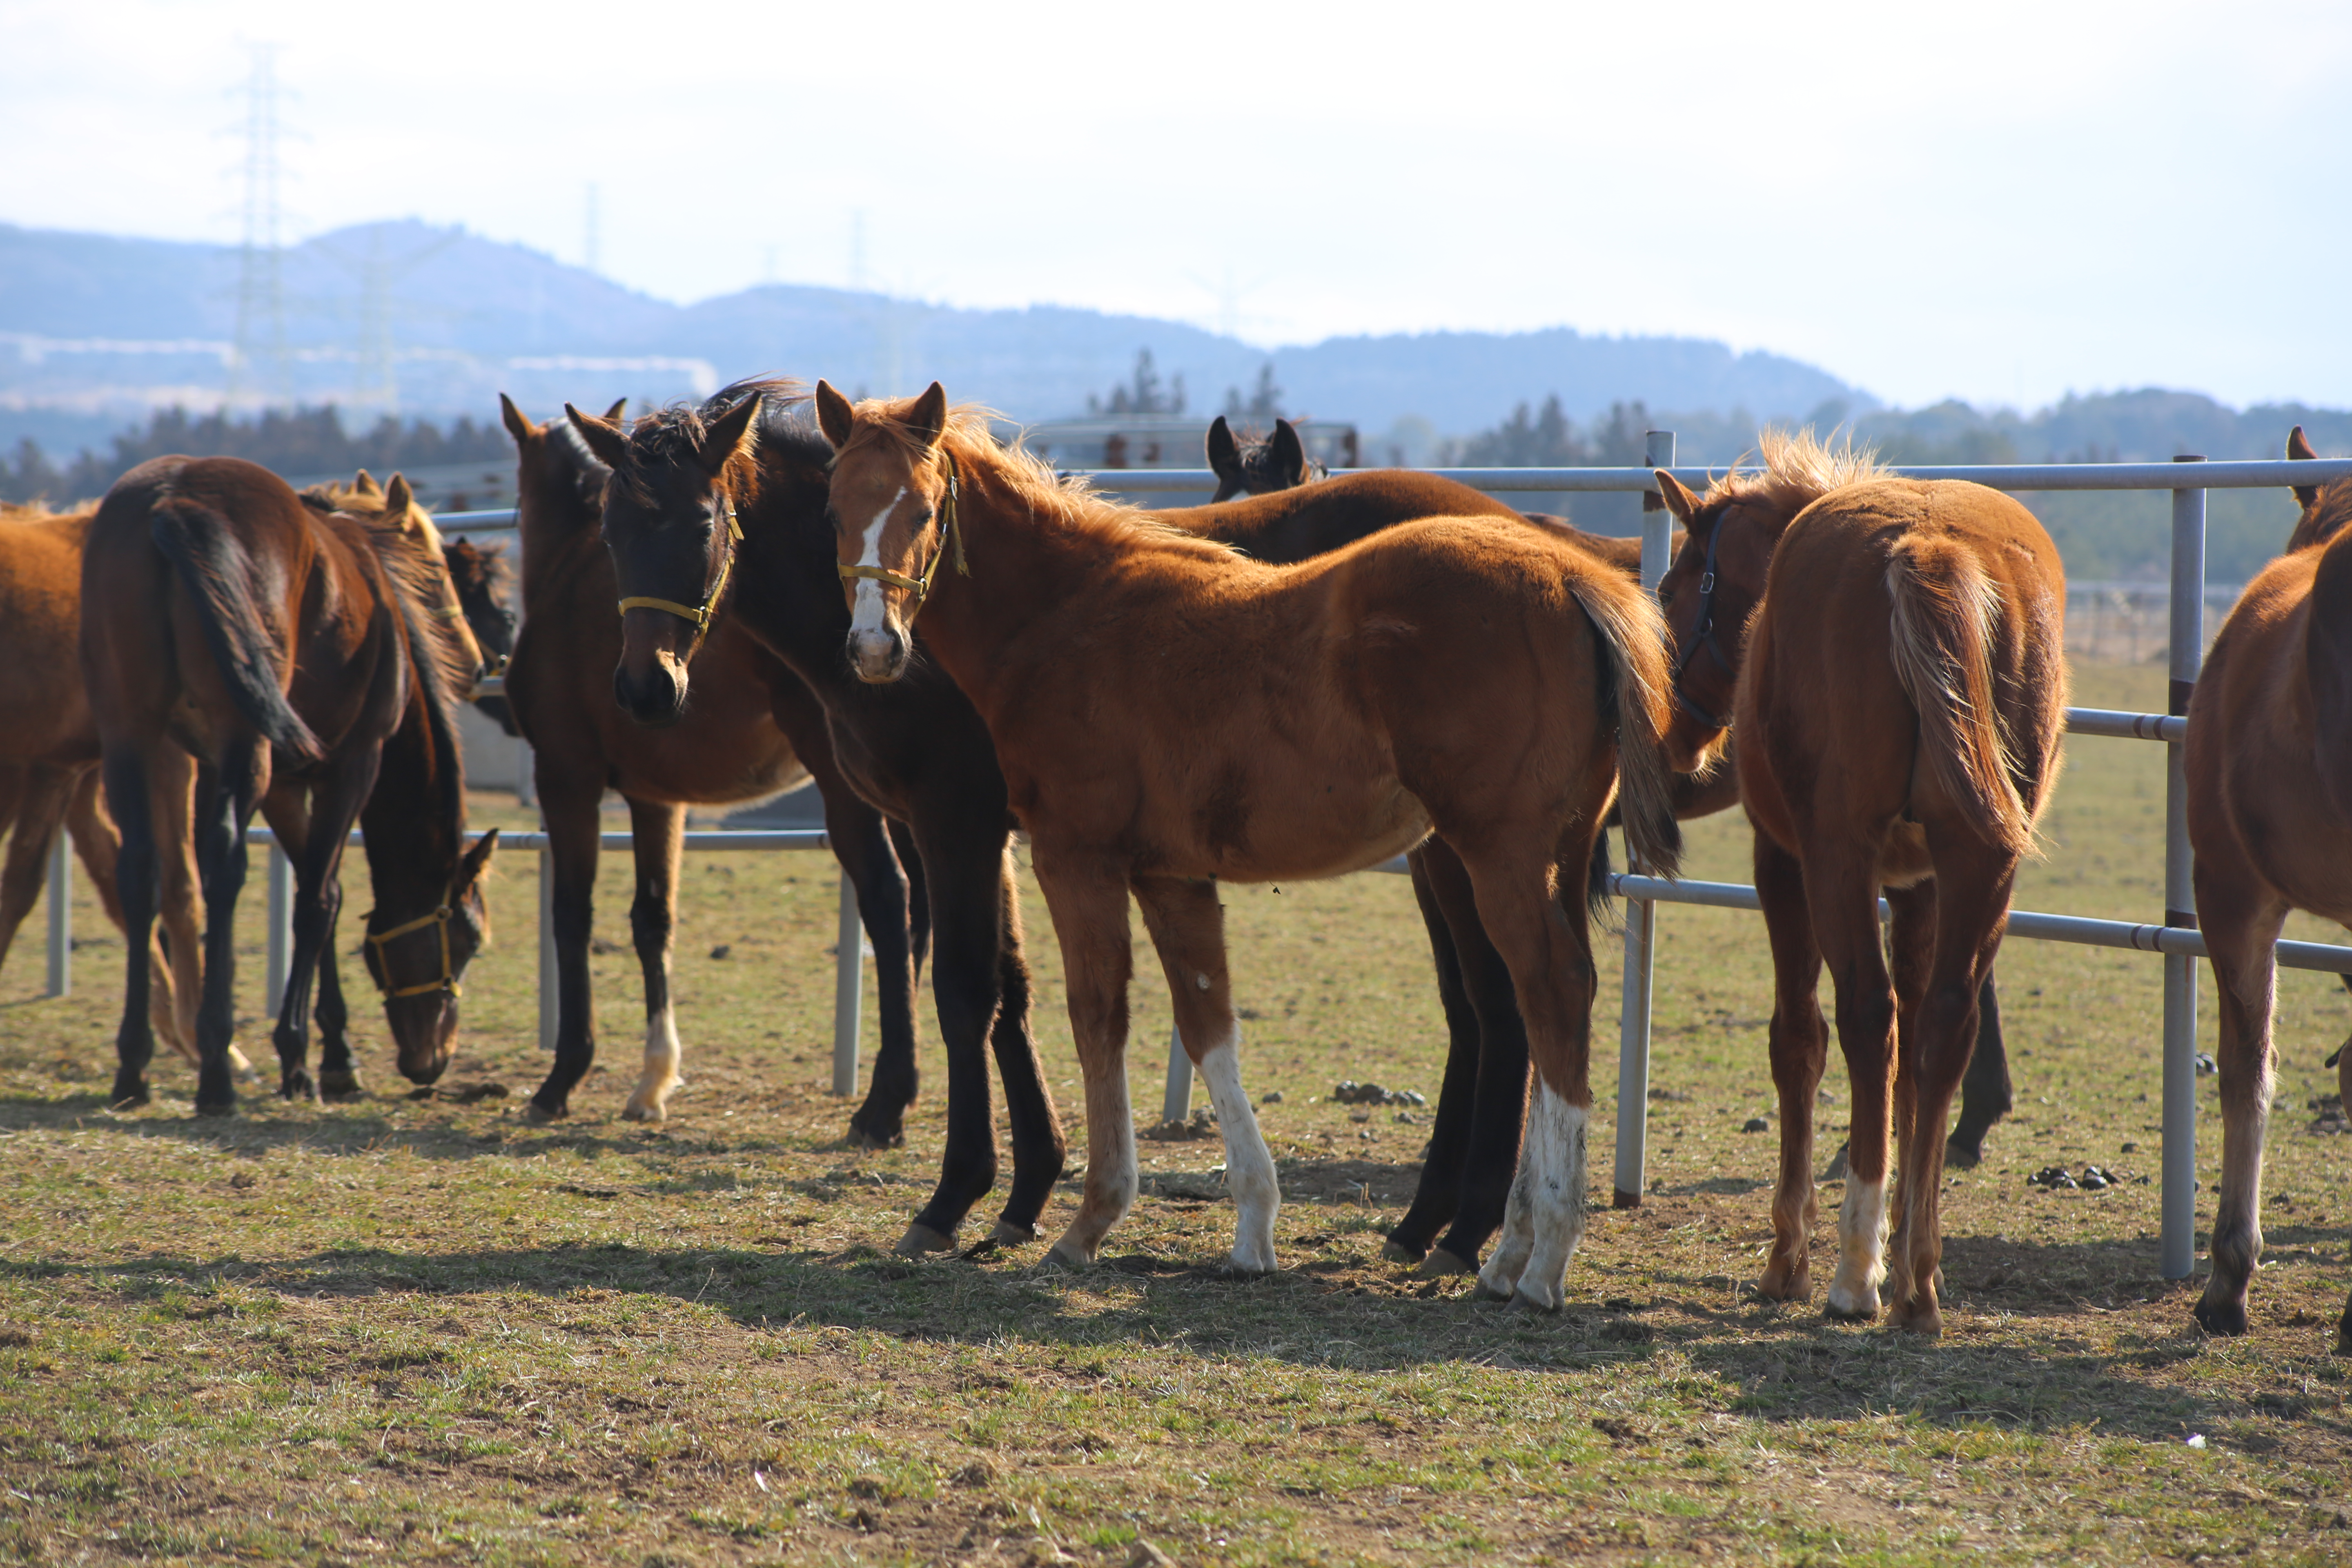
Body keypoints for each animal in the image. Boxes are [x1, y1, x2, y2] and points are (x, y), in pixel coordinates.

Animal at [84, 461, 501, 1109]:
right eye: (469, 939)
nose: (433, 1059)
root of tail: (174, 500)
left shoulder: (277, 784)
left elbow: (318, 884)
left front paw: (332, 1052)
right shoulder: (352, 765)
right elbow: (319, 900)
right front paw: (307, 1058)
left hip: (131, 731)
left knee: (140, 870)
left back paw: (134, 1065)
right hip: (243, 744)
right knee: (225, 863)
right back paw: (216, 1068)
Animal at [499, 399, 936, 1133]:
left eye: (706, 525)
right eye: (612, 534)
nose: (647, 688)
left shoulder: (566, 779)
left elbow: (571, 915)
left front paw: (563, 1077)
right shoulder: (654, 799)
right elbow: (653, 920)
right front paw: (653, 1080)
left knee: (887, 893)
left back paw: (887, 1097)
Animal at [818, 383, 1684, 1316]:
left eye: (924, 508)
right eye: (835, 509)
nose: (874, 647)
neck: (1067, 614)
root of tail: (1572, 576)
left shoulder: (1074, 856)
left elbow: (1099, 1016)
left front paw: (1088, 1225)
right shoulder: (1172, 875)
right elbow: (1209, 1025)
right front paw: (1251, 1232)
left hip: (1499, 855)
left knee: (1550, 995)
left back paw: (1543, 1259)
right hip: (1552, 852)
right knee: (1549, 1002)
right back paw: (1504, 1252)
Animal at [1646, 432, 2069, 1335]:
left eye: (1671, 590)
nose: (1676, 742)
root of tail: (1931, 548)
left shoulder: (1785, 863)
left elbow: (1800, 1040)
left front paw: (1789, 1256)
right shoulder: (1919, 886)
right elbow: (1915, 1055)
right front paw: (1904, 1231)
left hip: (1836, 860)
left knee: (1866, 1019)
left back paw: (1851, 1273)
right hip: (1983, 865)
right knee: (1942, 1026)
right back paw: (1916, 1278)